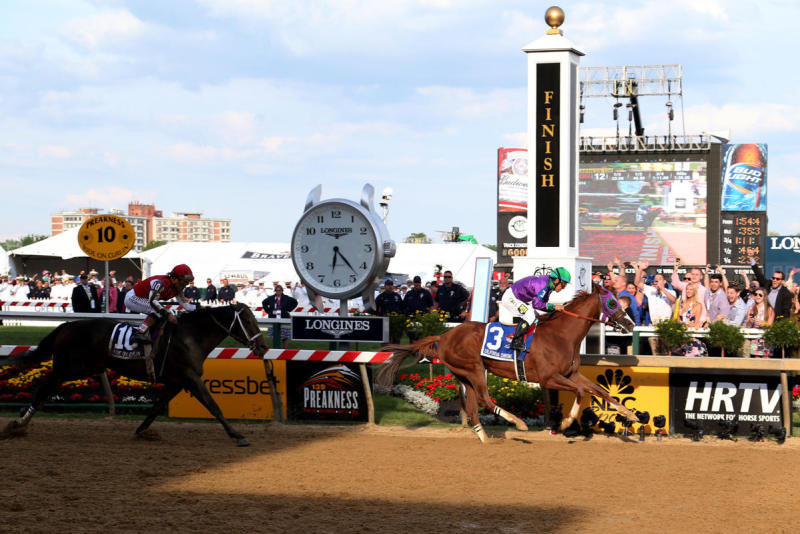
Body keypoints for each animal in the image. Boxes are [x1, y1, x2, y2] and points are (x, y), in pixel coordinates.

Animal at [380, 282, 636, 442]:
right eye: (612, 303)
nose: (631, 324)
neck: (561, 335)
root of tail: (443, 336)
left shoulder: (571, 374)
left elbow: (600, 391)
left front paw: (631, 415)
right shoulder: (548, 378)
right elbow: (581, 392)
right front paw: (564, 424)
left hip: (464, 373)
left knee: (472, 407)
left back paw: (484, 438)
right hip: (474, 369)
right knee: (484, 399)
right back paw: (518, 423)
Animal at [580, 160, 708, 266]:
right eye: (662, 210)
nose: (666, 214)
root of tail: (624, 213)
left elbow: (645, 230)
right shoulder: (645, 223)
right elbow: (644, 230)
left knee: (621, 224)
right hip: (626, 220)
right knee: (620, 224)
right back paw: (617, 229)